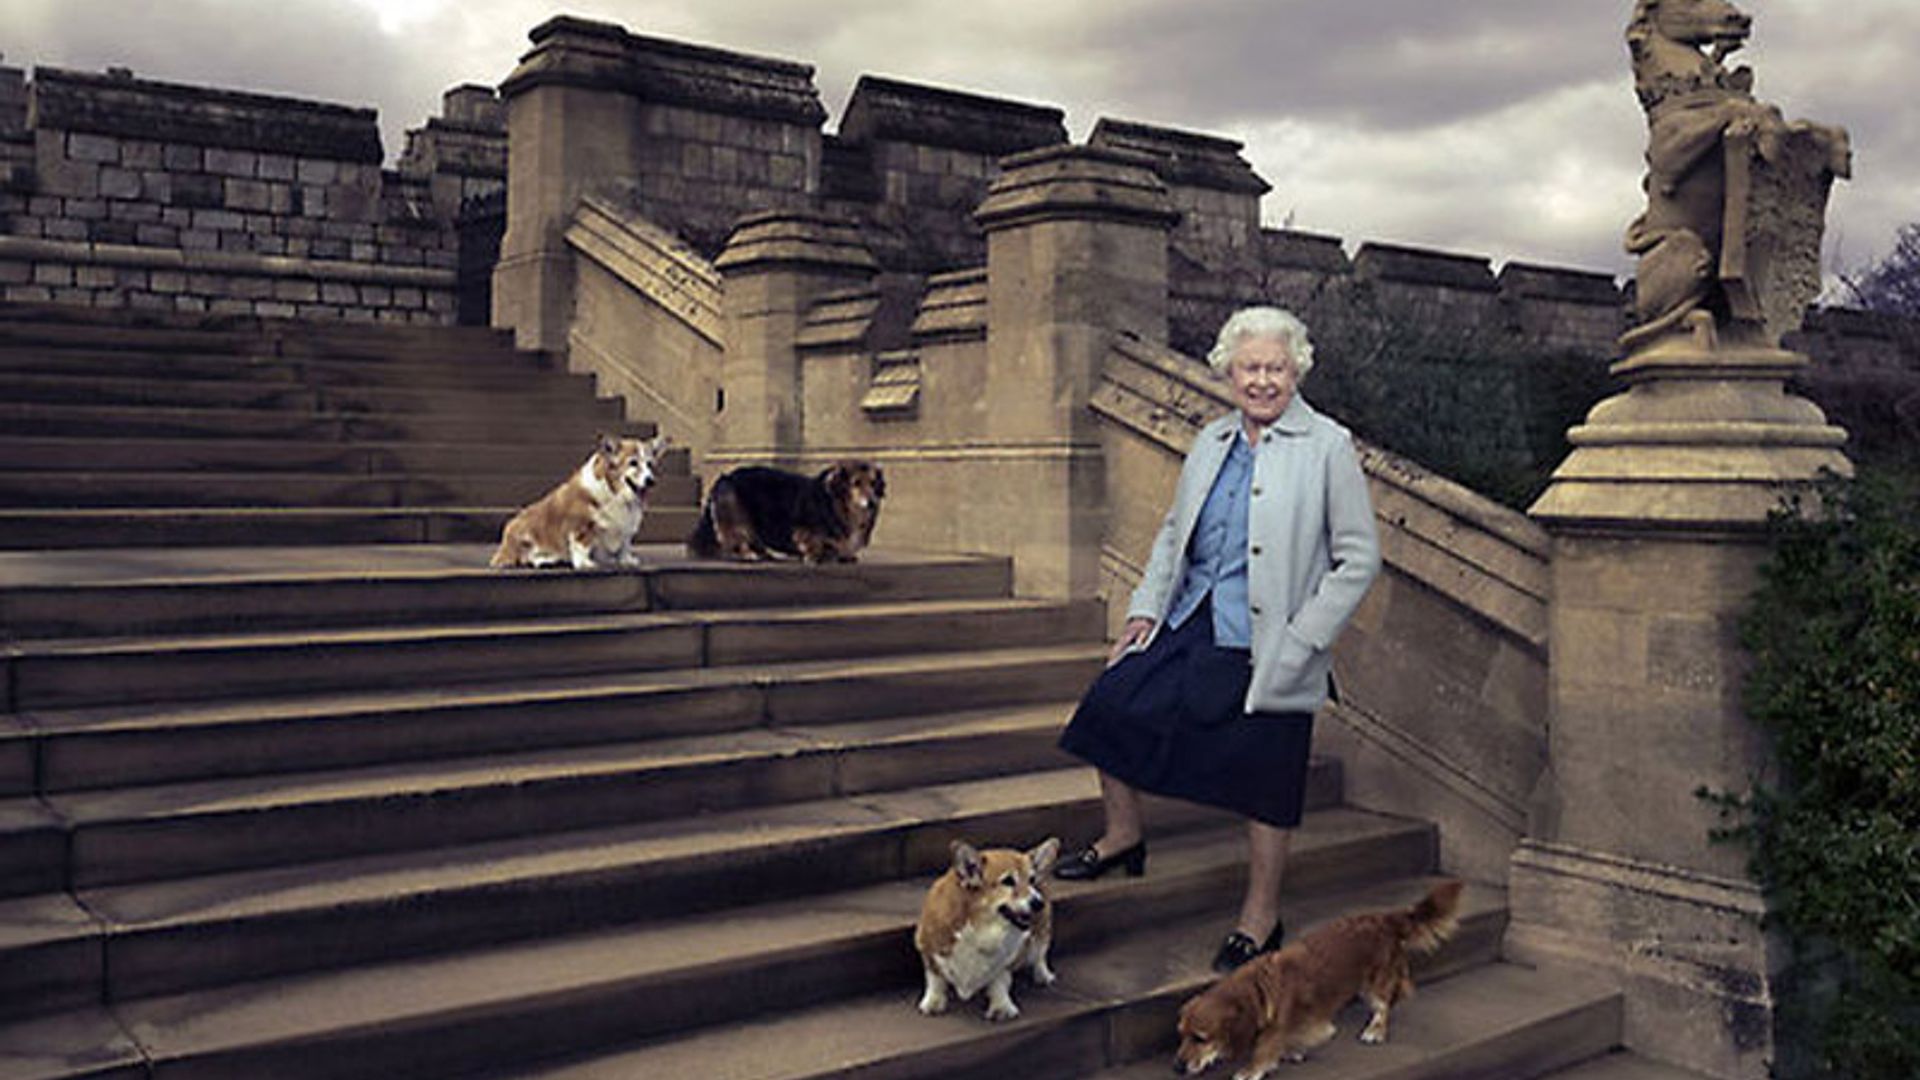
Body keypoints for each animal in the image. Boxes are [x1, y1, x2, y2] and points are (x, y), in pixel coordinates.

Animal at [487, 430, 668, 572]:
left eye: (650, 464)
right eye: (633, 463)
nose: (651, 481)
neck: (615, 492)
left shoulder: (626, 527)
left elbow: (625, 544)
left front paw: (626, 560)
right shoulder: (580, 525)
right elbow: (581, 544)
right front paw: (584, 564)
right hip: (523, 528)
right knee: (525, 557)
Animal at [687, 457, 887, 564]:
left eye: (873, 483)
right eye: (856, 483)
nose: (872, 502)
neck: (837, 505)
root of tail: (725, 477)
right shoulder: (805, 531)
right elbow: (817, 544)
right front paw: (818, 556)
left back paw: (765, 554)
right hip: (736, 515)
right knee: (734, 541)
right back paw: (747, 554)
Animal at [917, 834, 1067, 1014]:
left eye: (1031, 880)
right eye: (1008, 881)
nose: (1039, 903)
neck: (981, 927)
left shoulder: (1007, 962)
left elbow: (999, 982)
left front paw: (1002, 1007)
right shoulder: (928, 949)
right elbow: (935, 979)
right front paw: (933, 1002)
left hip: (1042, 930)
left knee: (1039, 954)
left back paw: (1043, 975)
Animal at [1167, 880, 1466, 1068]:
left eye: (1201, 1038)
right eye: (1180, 1035)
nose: (1177, 1068)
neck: (1259, 988)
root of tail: (1384, 918)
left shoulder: (1282, 1024)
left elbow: (1266, 1047)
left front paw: (1250, 1070)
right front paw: (1292, 1052)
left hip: (1375, 984)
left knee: (1384, 1006)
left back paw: (1375, 1030)